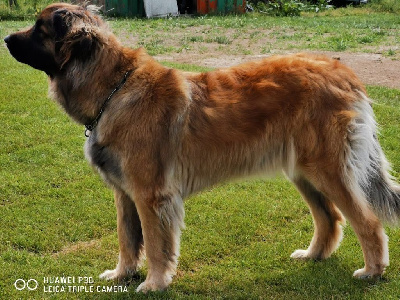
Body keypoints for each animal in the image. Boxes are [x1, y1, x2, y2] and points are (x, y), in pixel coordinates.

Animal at [3, 2, 400, 292]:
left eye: (40, 29)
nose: (5, 38)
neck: (114, 89)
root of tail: (343, 72)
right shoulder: (124, 194)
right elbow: (127, 239)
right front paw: (121, 275)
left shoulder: (150, 195)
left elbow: (156, 244)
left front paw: (154, 283)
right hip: (303, 171)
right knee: (329, 218)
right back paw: (313, 255)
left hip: (328, 169)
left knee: (367, 220)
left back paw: (372, 270)